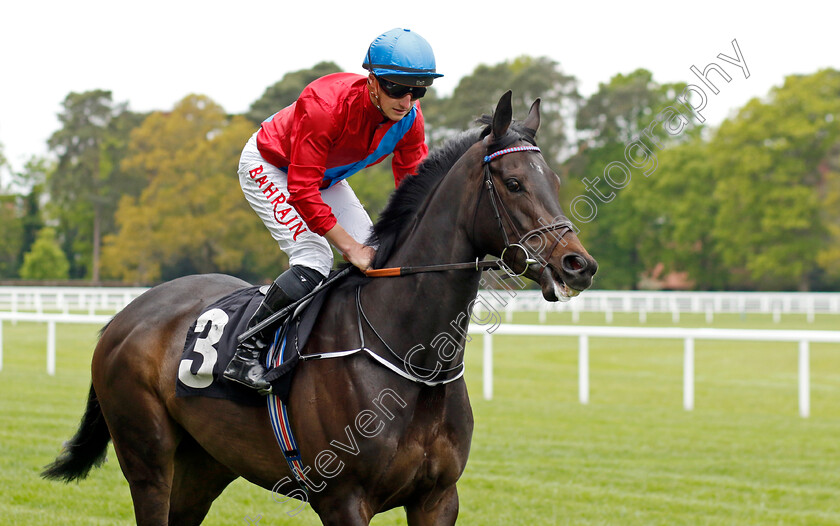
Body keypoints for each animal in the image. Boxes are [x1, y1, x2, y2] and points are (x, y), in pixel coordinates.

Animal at [42, 93, 596, 524]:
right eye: (514, 182)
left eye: (555, 181)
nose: (578, 265)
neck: (413, 358)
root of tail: (123, 317)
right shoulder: (343, 500)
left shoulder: (438, 498)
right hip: (149, 460)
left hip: (205, 464)